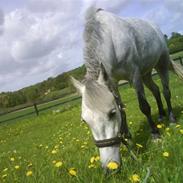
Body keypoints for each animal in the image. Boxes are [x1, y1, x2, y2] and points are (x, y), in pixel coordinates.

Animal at [71, 7, 183, 169]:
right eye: (85, 121)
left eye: (111, 114)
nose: (110, 167)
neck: (111, 40)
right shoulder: (113, 82)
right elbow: (122, 108)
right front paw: (128, 139)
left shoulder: (134, 76)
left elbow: (144, 106)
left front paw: (155, 135)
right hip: (146, 74)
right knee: (156, 90)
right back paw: (161, 116)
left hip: (161, 64)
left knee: (165, 91)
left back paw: (172, 119)